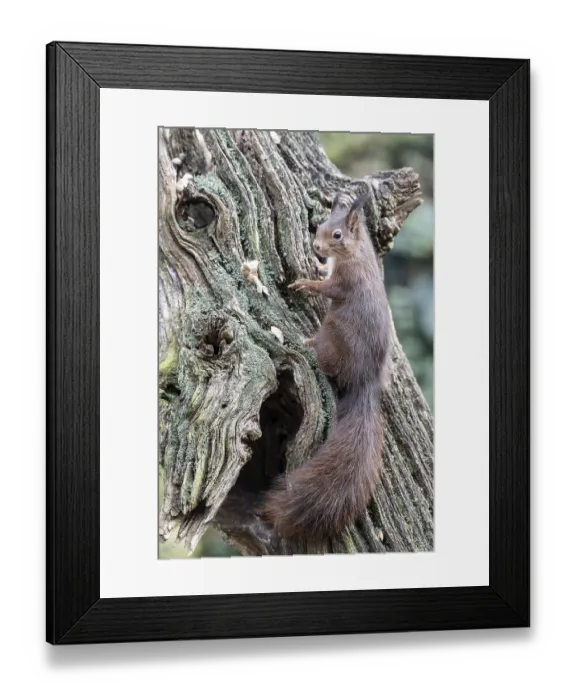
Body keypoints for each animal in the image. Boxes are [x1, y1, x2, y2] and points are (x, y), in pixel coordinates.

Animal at [260, 191, 392, 540]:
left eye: (337, 235)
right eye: (319, 225)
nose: (317, 248)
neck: (356, 252)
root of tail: (365, 381)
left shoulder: (346, 281)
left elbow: (329, 288)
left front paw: (306, 282)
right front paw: (317, 267)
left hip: (332, 332)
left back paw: (307, 344)